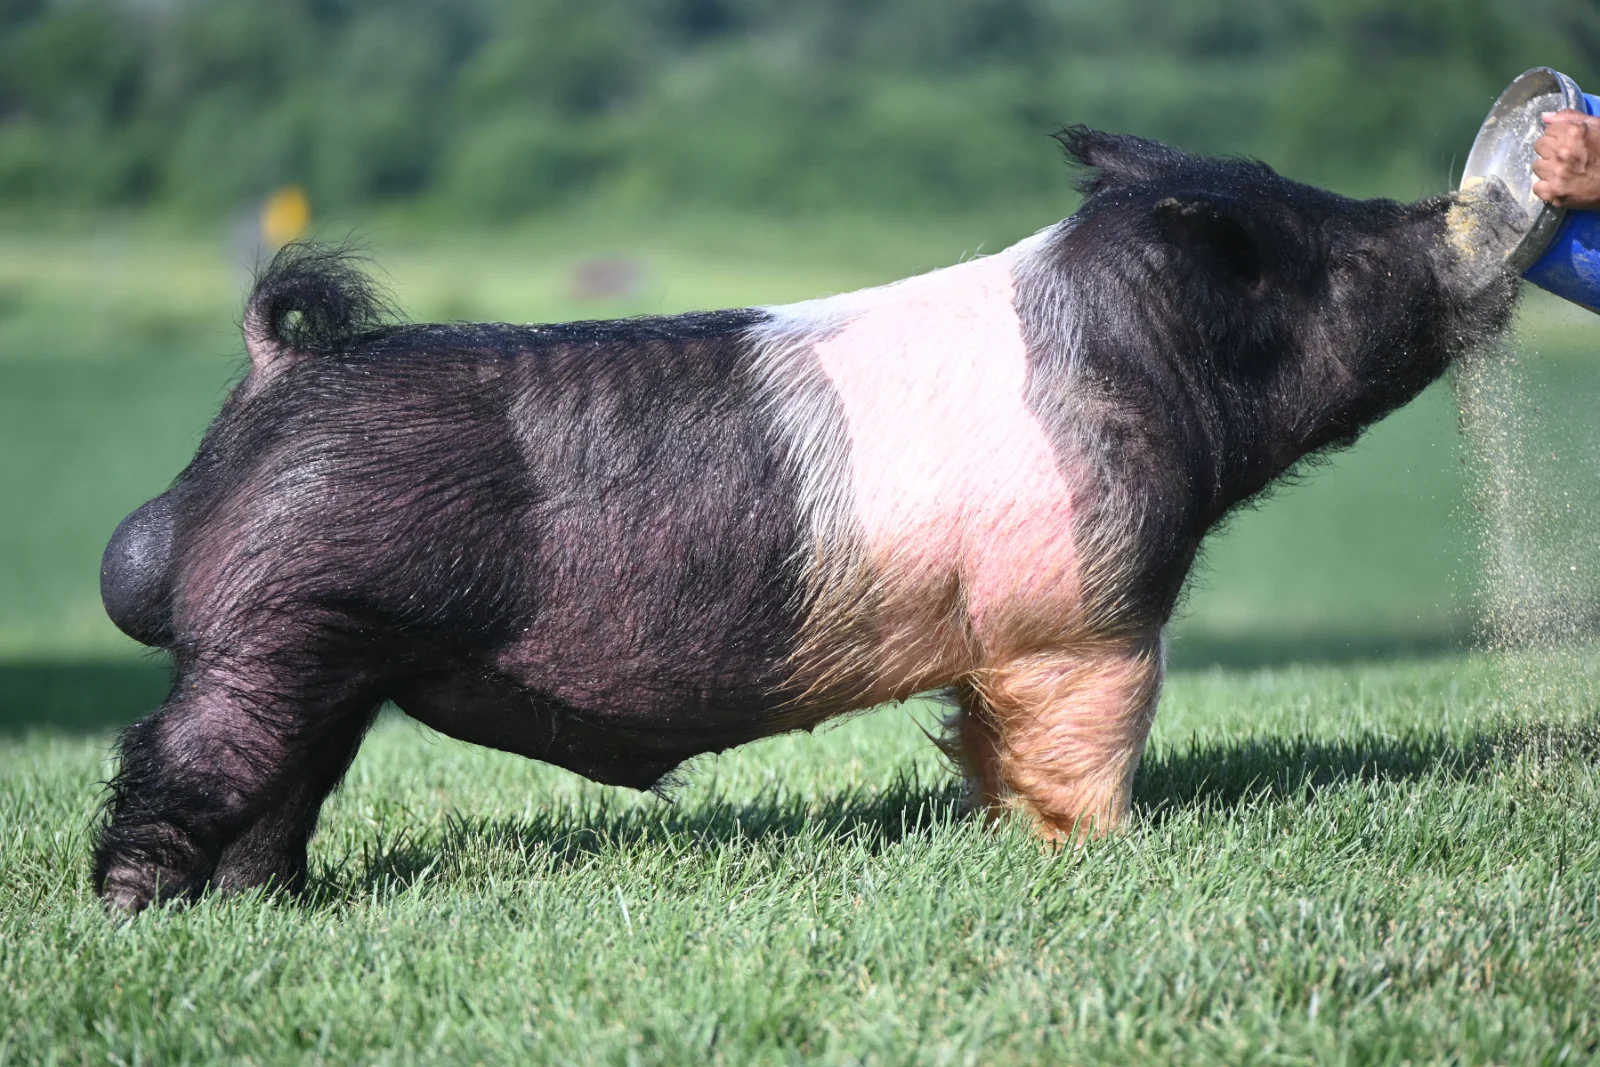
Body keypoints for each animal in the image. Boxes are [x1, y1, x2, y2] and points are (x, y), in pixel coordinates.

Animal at [93, 128, 1521, 911]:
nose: (1449, 219)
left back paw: (273, 903)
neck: (1140, 361)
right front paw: (1105, 853)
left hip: (329, 661)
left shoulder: (1004, 644)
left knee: (280, 791)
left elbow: (986, 743)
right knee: (180, 758)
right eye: (1337, 253)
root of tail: (277, 372)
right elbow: (1092, 742)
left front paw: (1000, 834)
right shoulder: (1088, 612)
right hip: (280, 626)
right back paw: (134, 915)